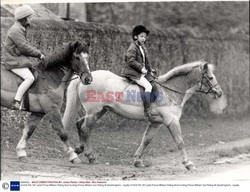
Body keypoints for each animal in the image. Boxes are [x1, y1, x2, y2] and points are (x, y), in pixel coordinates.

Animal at [62, 60, 223, 170]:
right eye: (210, 77)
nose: (219, 93)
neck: (170, 91)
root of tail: (86, 78)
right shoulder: (172, 121)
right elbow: (180, 142)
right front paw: (188, 164)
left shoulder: (156, 123)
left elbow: (146, 140)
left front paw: (137, 161)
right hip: (94, 112)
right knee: (86, 129)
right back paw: (90, 156)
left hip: (100, 111)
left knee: (80, 124)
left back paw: (79, 149)